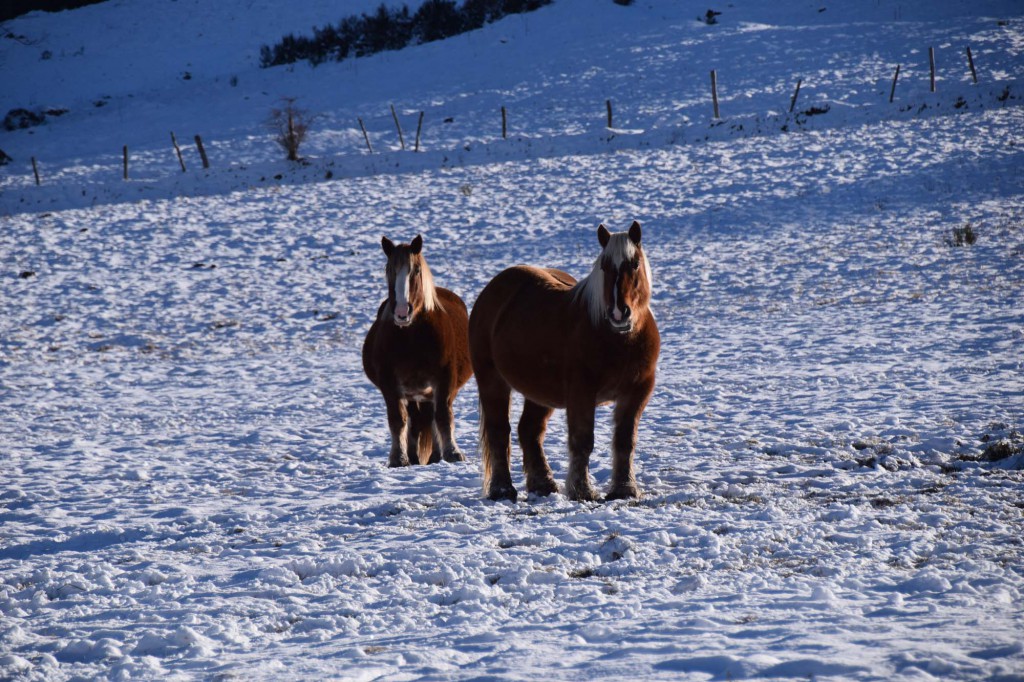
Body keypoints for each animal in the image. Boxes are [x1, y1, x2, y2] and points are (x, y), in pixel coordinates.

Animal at [362, 235, 473, 466]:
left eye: (416, 271)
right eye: (389, 270)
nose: (402, 312)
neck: (411, 337)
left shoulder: (444, 380)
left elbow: (443, 417)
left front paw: (453, 453)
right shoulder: (390, 384)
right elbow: (398, 420)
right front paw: (398, 458)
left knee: (433, 418)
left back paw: (437, 456)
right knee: (415, 421)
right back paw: (414, 456)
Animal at [468, 219, 659, 499]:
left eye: (634, 264)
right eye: (604, 266)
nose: (618, 313)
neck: (619, 340)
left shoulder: (637, 391)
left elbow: (625, 441)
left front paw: (624, 489)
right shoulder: (581, 392)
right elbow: (583, 440)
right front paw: (582, 490)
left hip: (538, 391)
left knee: (529, 431)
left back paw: (543, 484)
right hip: (492, 381)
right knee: (499, 432)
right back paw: (502, 489)